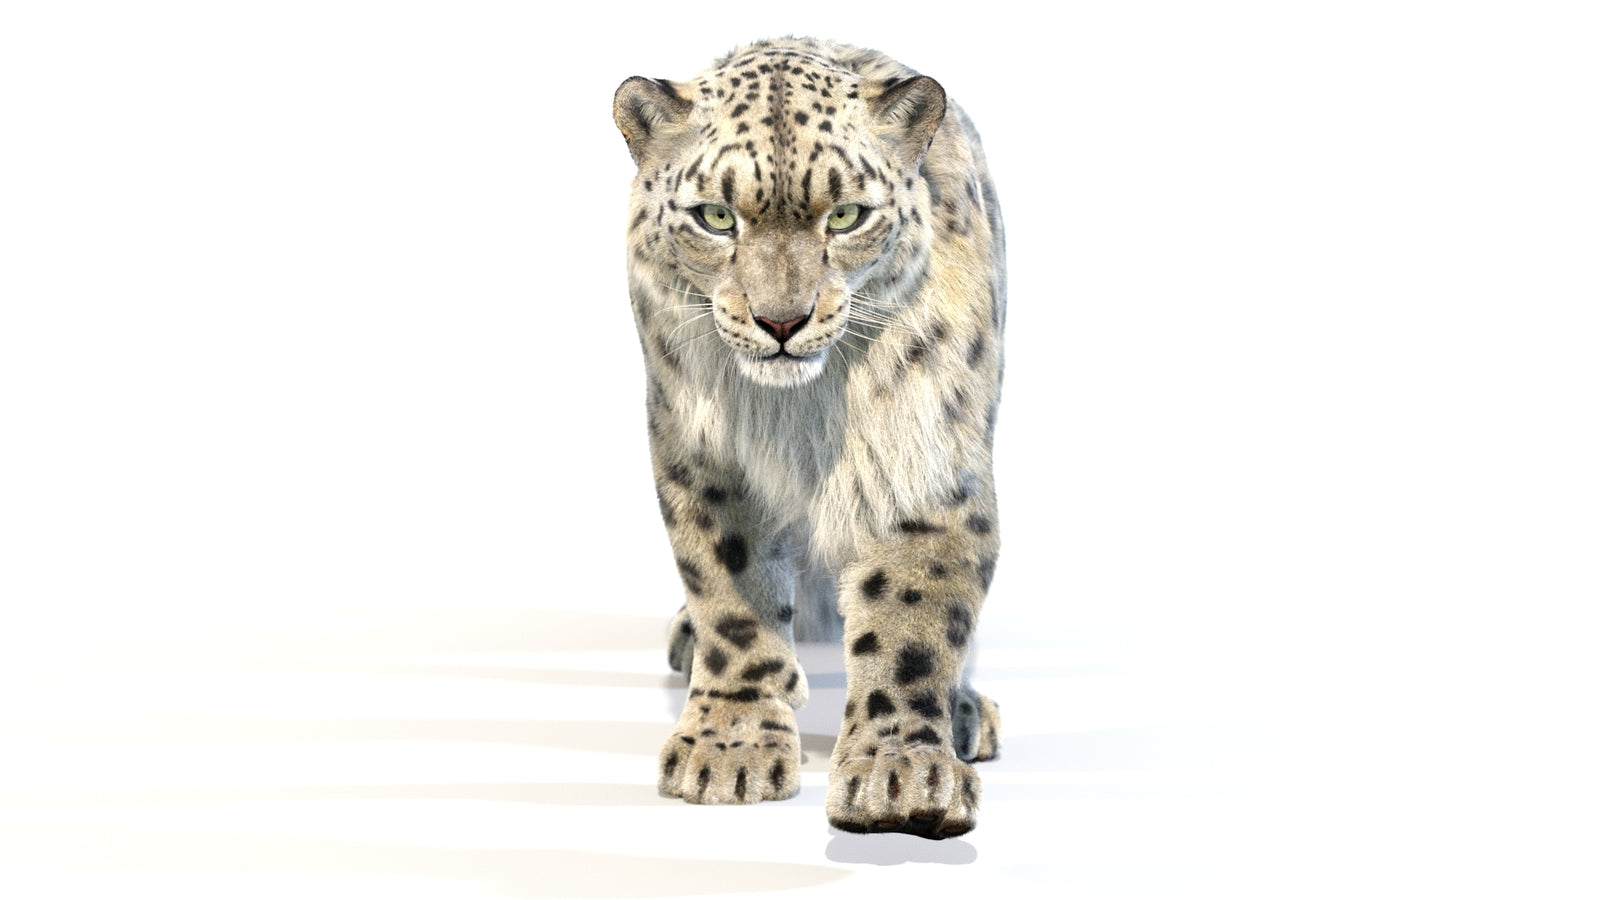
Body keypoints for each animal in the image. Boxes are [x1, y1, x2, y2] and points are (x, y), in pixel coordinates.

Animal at [613, 37, 1005, 839]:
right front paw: (729, 746)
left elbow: (913, 620)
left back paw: (964, 711)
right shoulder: (705, 458)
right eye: (716, 216)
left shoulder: (924, 458)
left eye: (846, 215)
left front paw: (901, 777)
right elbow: (731, 593)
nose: (782, 321)